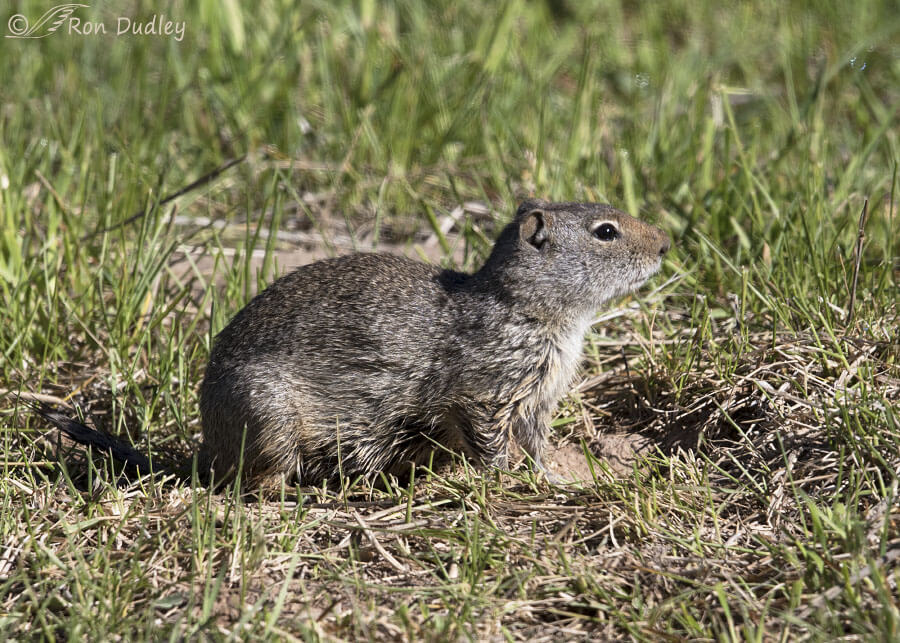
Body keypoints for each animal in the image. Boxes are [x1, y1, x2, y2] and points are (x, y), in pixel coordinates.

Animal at [199, 201, 668, 488]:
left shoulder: (537, 402)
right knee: (260, 482)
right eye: (605, 232)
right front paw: (507, 480)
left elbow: (536, 446)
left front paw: (550, 477)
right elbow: (491, 445)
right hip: (271, 421)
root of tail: (210, 437)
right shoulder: (483, 395)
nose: (665, 243)